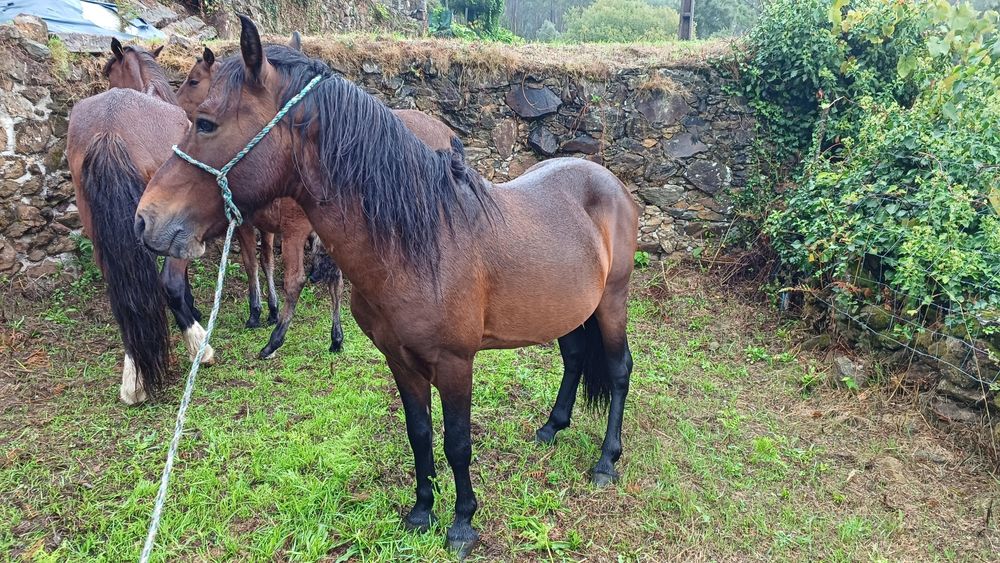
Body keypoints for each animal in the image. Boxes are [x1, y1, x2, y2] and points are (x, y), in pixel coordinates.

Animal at [67, 39, 215, 405]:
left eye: (108, 71)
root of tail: (110, 130)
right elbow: (179, 282)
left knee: (125, 299)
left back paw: (134, 376)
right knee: (168, 284)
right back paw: (199, 346)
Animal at [177, 39, 458, 358]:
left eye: (194, 80)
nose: (174, 100)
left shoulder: (251, 224)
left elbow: (253, 263)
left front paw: (258, 312)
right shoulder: (271, 225)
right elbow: (266, 260)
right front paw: (272, 309)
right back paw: (335, 336)